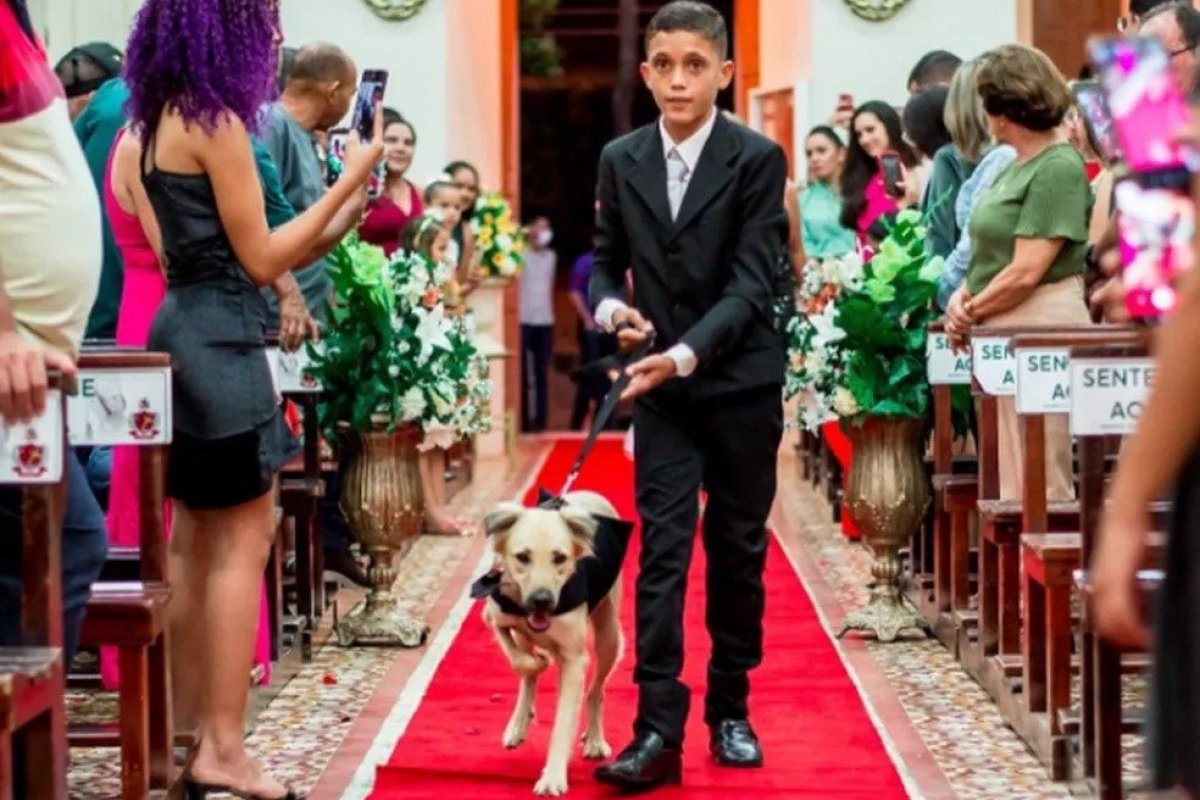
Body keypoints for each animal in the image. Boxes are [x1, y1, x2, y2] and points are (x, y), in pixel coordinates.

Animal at [475, 491, 628, 796]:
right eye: (522, 557)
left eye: (559, 558)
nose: (542, 600)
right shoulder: (495, 617)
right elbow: (521, 663)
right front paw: (538, 663)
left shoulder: (574, 659)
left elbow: (564, 721)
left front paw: (553, 777)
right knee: (527, 678)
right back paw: (518, 724)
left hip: (609, 636)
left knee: (596, 691)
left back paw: (595, 740)